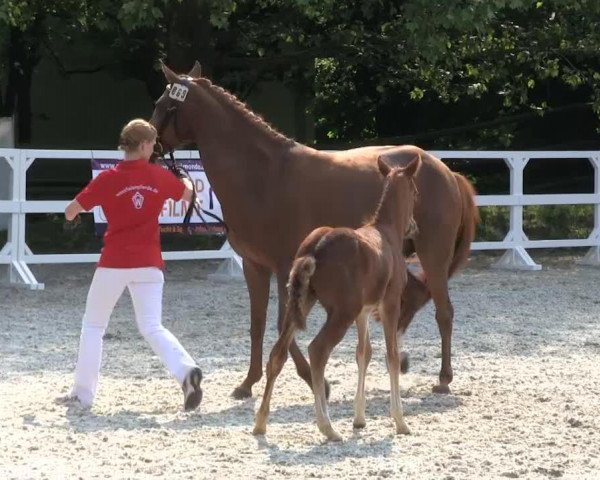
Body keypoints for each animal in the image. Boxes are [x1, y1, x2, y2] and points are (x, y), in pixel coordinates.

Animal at [255, 155, 420, 442]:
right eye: (415, 192)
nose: (414, 227)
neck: (386, 231)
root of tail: (315, 249)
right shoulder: (389, 304)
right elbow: (391, 355)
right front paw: (400, 421)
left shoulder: (363, 311)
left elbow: (363, 353)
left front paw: (359, 418)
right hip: (342, 312)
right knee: (317, 350)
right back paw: (327, 426)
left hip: (303, 303)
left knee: (278, 354)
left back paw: (261, 422)